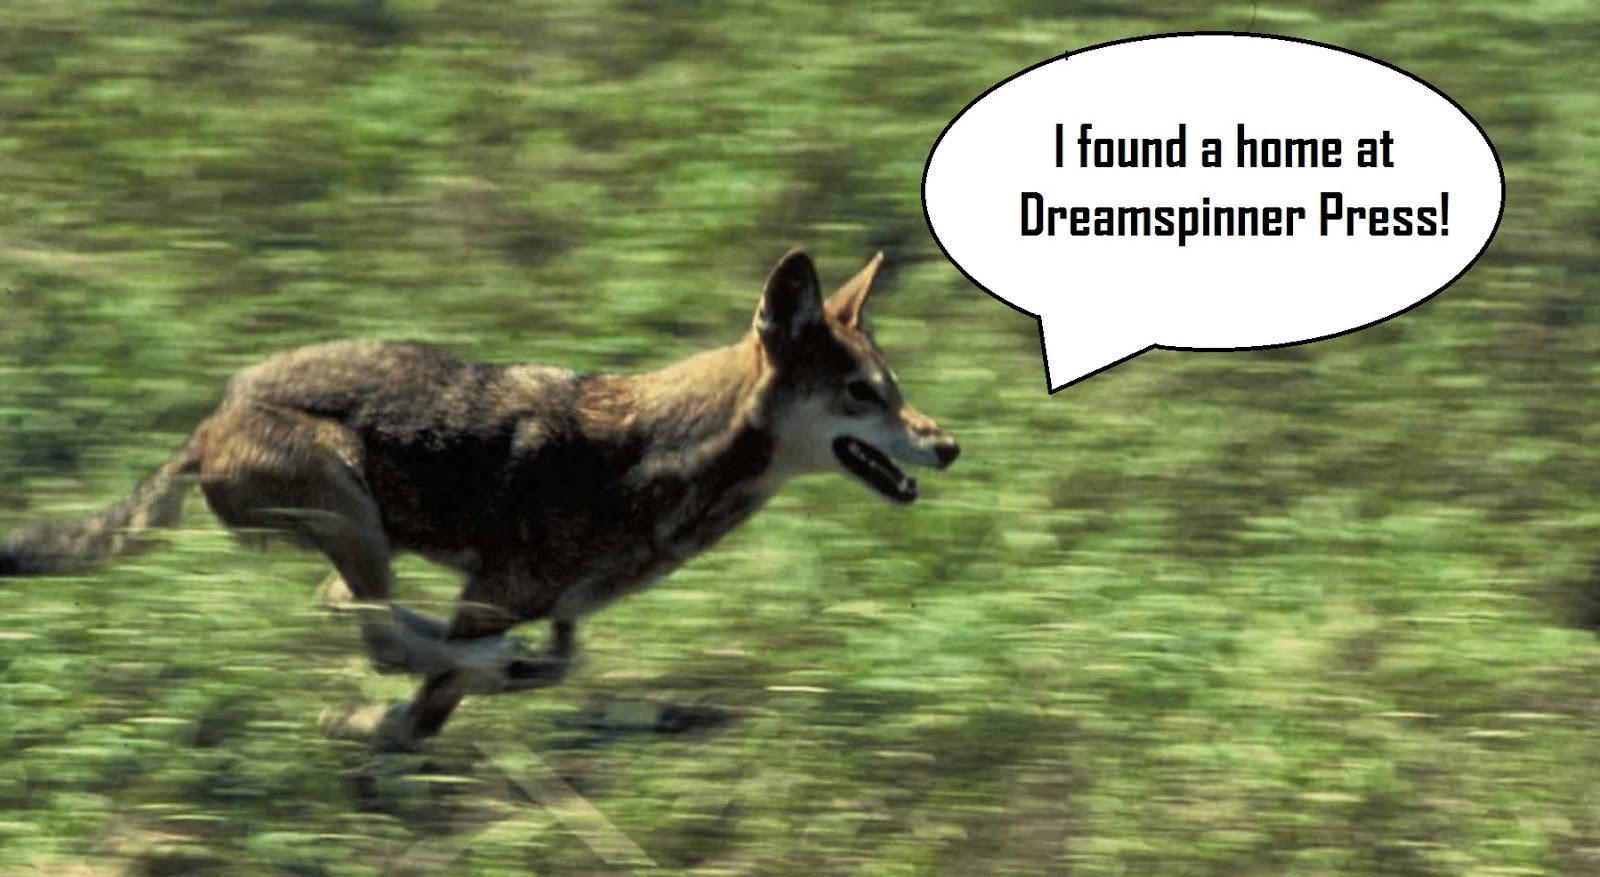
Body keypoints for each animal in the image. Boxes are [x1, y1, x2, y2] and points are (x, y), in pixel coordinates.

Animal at [0, 250, 959, 748]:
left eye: (895, 389)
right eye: (862, 395)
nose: (949, 444)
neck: (664, 457)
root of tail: (209, 419)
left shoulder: (546, 605)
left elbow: (546, 661)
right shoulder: (496, 593)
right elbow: (429, 702)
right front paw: (384, 719)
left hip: (364, 533)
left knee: (354, 608)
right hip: (349, 497)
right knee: (380, 628)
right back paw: (470, 661)